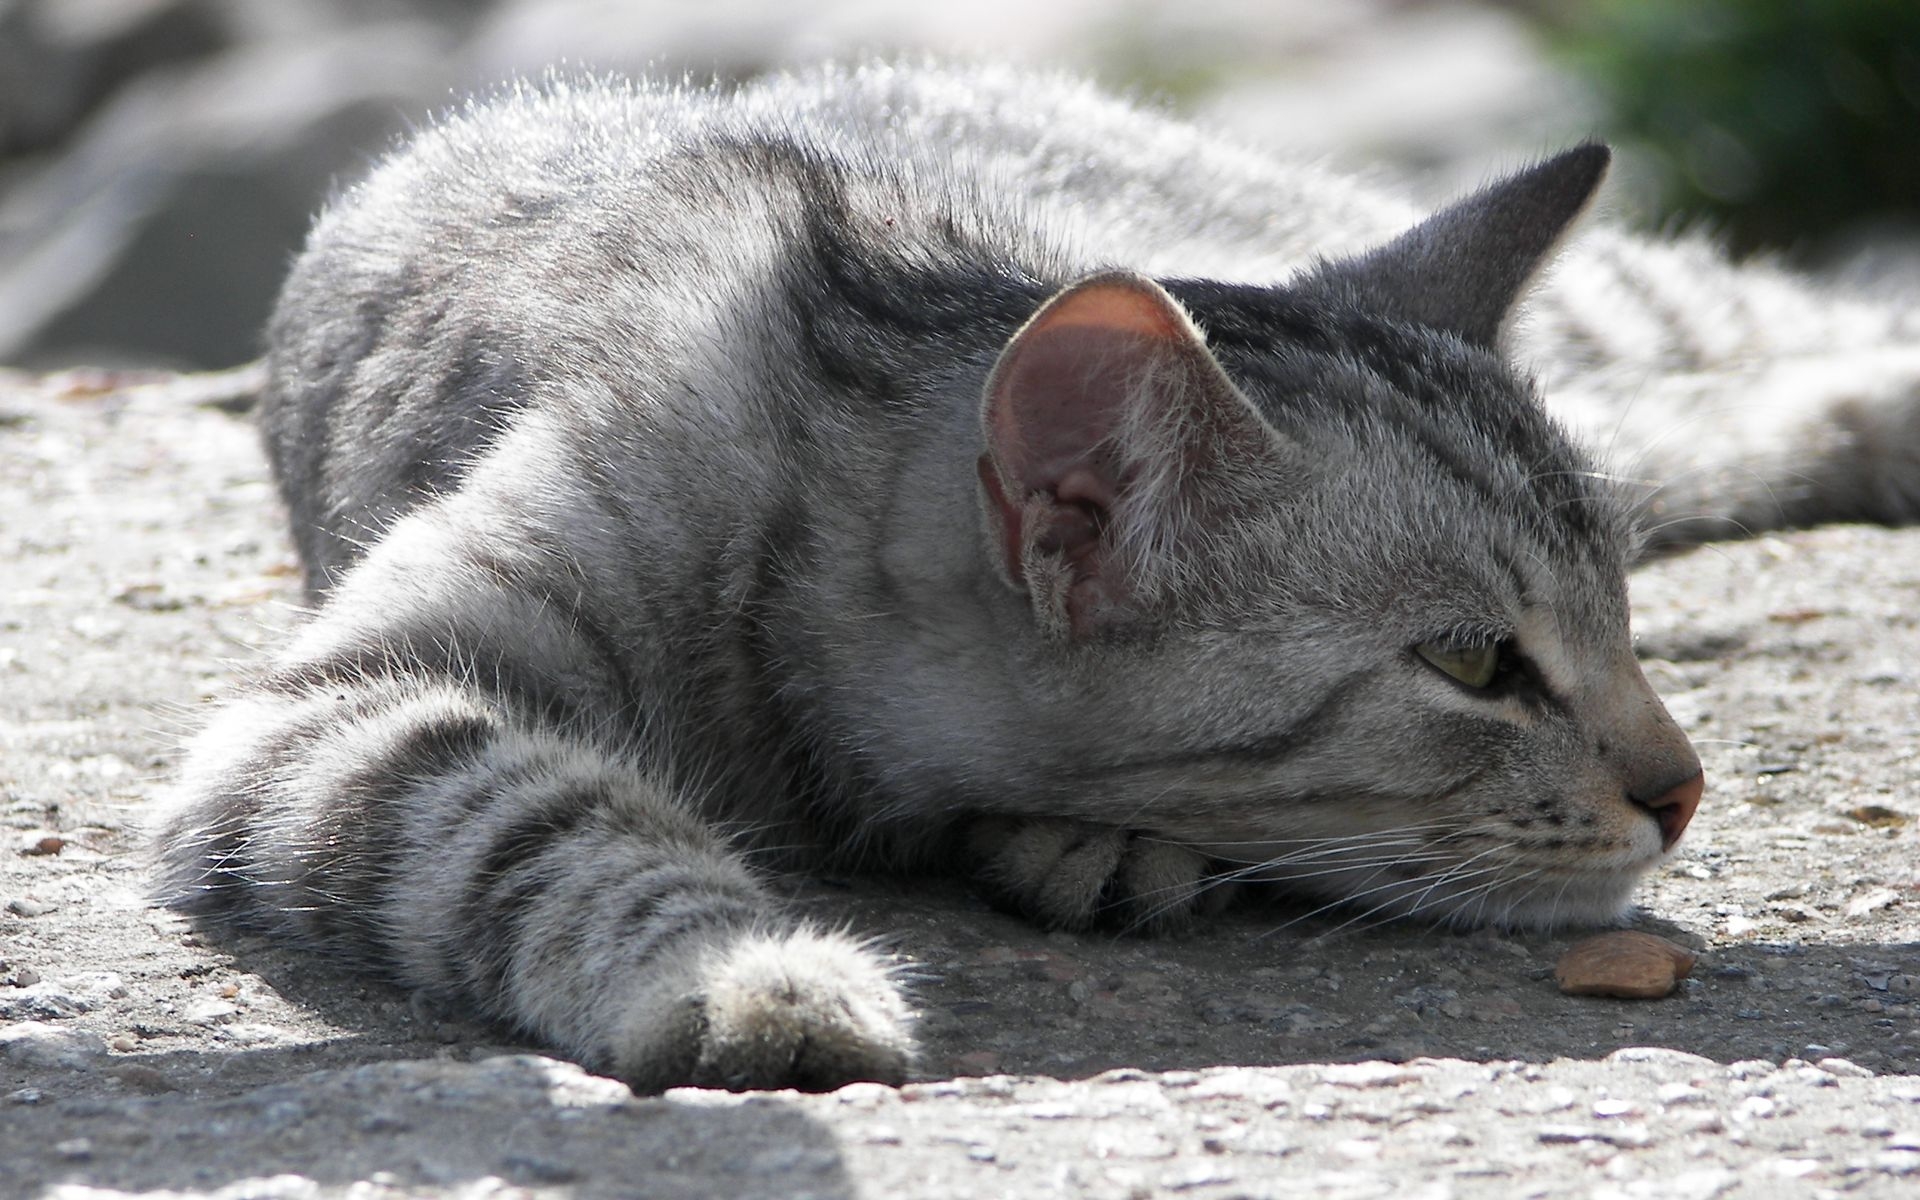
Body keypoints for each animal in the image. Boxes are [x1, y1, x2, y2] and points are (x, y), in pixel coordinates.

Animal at [149, 67, 1920, 1098]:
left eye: (1620, 625)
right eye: (1478, 664)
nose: (1685, 792)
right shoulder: (343, 700)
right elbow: (539, 814)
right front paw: (743, 973)